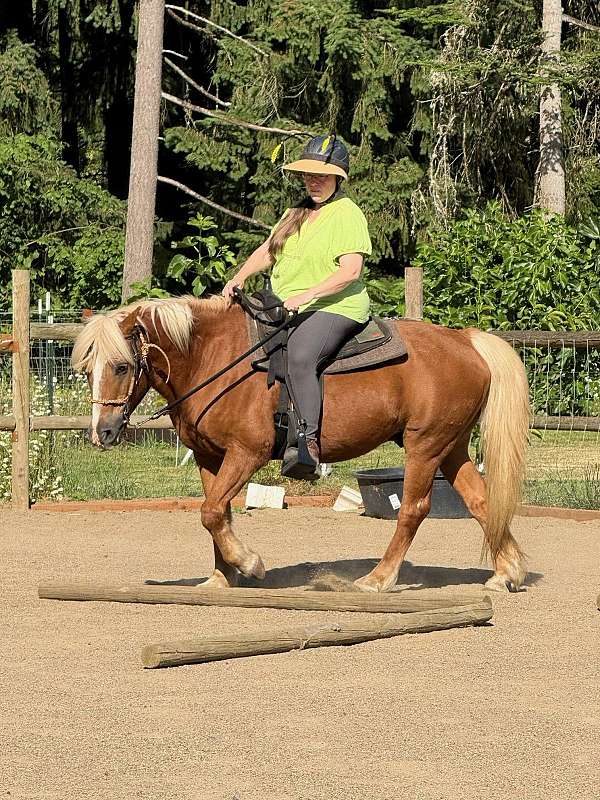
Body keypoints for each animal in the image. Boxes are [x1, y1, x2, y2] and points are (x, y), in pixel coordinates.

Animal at [72, 295, 530, 593]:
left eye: (121, 366)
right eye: (86, 369)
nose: (103, 433)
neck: (215, 359)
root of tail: (465, 340)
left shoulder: (248, 452)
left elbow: (211, 512)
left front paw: (249, 564)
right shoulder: (209, 457)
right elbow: (217, 513)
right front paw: (221, 577)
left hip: (425, 445)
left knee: (414, 510)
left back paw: (378, 579)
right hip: (451, 446)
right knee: (482, 501)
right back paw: (506, 572)